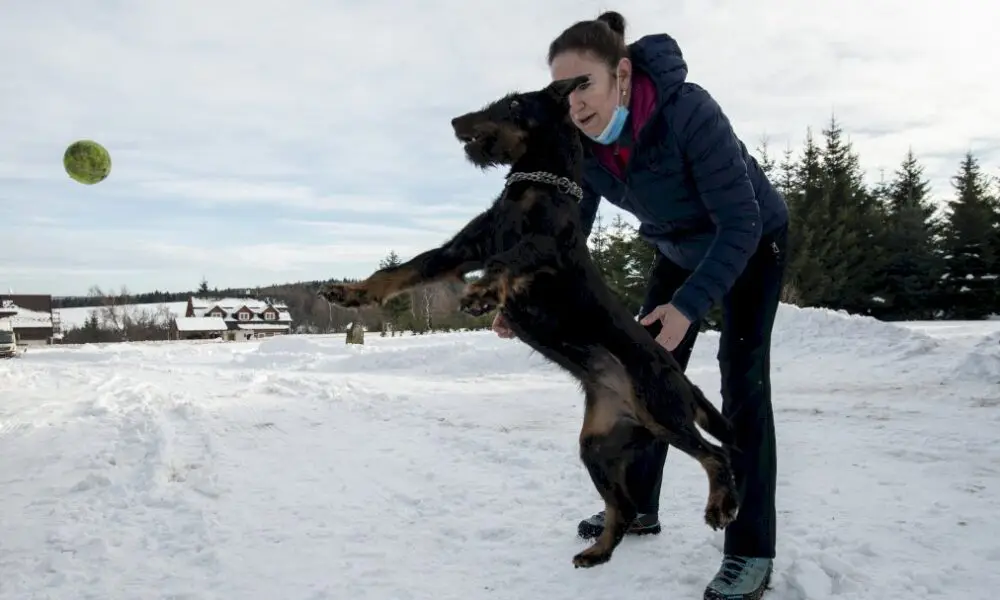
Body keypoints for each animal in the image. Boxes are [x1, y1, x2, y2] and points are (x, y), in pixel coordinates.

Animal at [316, 77, 740, 568]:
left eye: (515, 103)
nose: (456, 121)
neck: (537, 182)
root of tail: (677, 375)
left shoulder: (545, 246)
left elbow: (508, 260)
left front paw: (482, 293)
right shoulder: (459, 250)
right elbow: (399, 271)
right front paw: (346, 293)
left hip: (662, 409)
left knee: (718, 454)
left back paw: (720, 506)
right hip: (599, 444)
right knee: (625, 504)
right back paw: (598, 552)